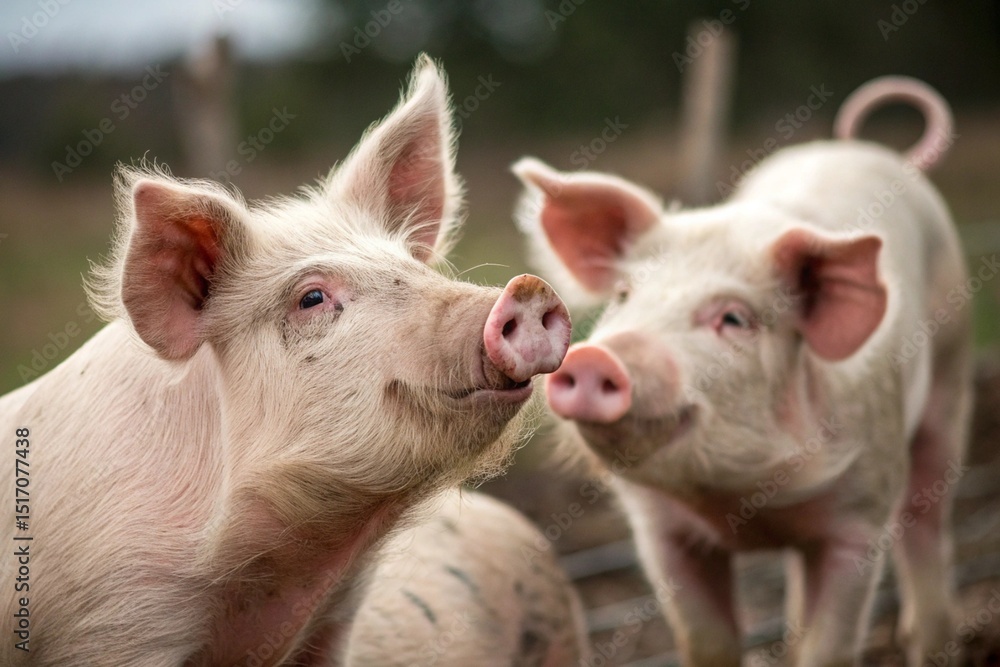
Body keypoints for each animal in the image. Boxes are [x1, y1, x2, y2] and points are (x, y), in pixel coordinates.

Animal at [512, 76, 970, 667]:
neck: (739, 500)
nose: (598, 356)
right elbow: (706, 641)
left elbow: (831, 646)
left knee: (927, 516)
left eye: (734, 319)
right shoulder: (659, 533)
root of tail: (863, 148)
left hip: (951, 372)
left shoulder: (861, 517)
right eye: (624, 295)